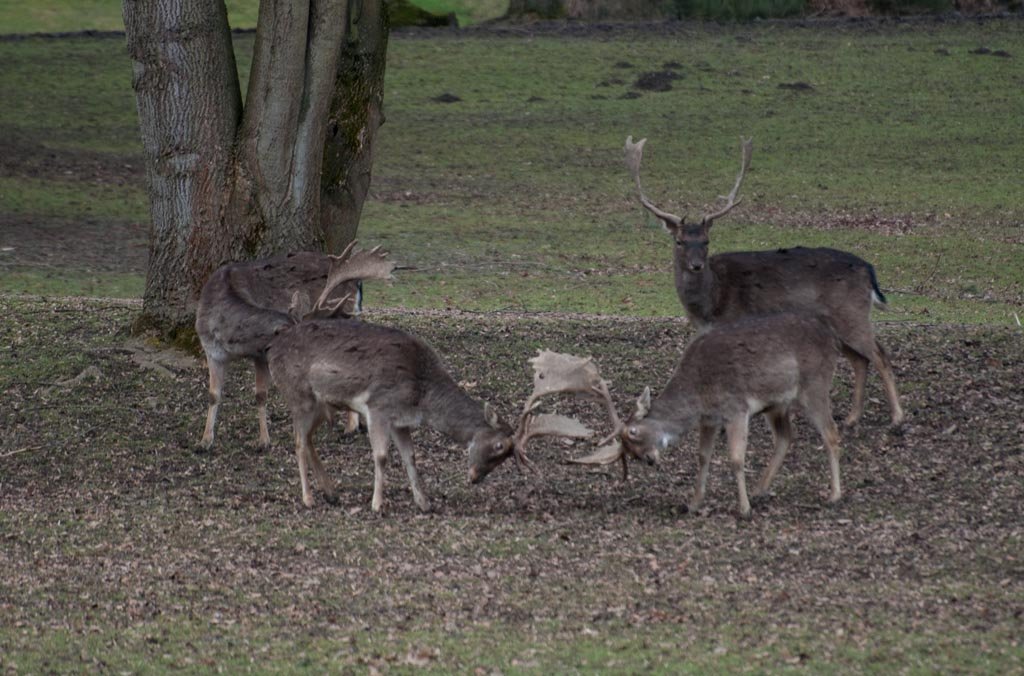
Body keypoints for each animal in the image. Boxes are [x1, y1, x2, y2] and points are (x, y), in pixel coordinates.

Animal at [195, 249, 368, 454]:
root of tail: (356, 282)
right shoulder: (211, 350)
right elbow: (213, 395)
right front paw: (204, 441)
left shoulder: (260, 354)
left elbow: (260, 395)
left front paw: (263, 441)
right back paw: (359, 423)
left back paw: (351, 427)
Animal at [573, 311, 843, 518]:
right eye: (629, 453)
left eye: (633, 432)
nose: (649, 459)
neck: (698, 395)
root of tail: (832, 338)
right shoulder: (709, 420)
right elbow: (703, 457)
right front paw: (693, 504)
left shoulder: (736, 408)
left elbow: (736, 458)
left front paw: (743, 509)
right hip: (777, 404)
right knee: (786, 436)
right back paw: (760, 490)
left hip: (814, 385)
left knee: (831, 433)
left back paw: (834, 495)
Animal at [622, 134, 905, 426]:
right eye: (679, 241)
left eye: (706, 241)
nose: (697, 265)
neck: (711, 302)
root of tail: (868, 270)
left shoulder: (737, 322)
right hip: (838, 323)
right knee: (861, 360)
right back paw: (851, 417)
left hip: (851, 313)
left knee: (880, 355)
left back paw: (897, 416)